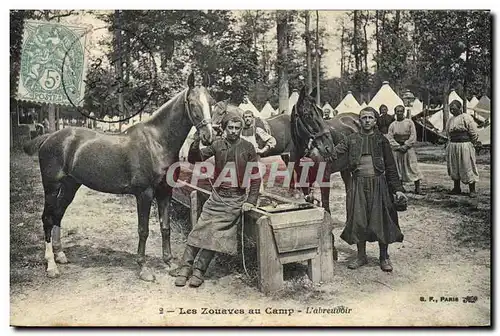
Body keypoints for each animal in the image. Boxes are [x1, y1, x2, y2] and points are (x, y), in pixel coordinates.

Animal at [23, 73, 215, 280]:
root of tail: (49, 138)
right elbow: (143, 230)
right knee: (47, 218)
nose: (208, 137)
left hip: (70, 186)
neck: (156, 142)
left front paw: (170, 264)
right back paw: (51, 265)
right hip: (51, 187)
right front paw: (143, 268)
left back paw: (60, 255)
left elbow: (166, 227)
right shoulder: (145, 194)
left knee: (58, 214)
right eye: (193, 103)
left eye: (211, 102)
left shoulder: (165, 192)